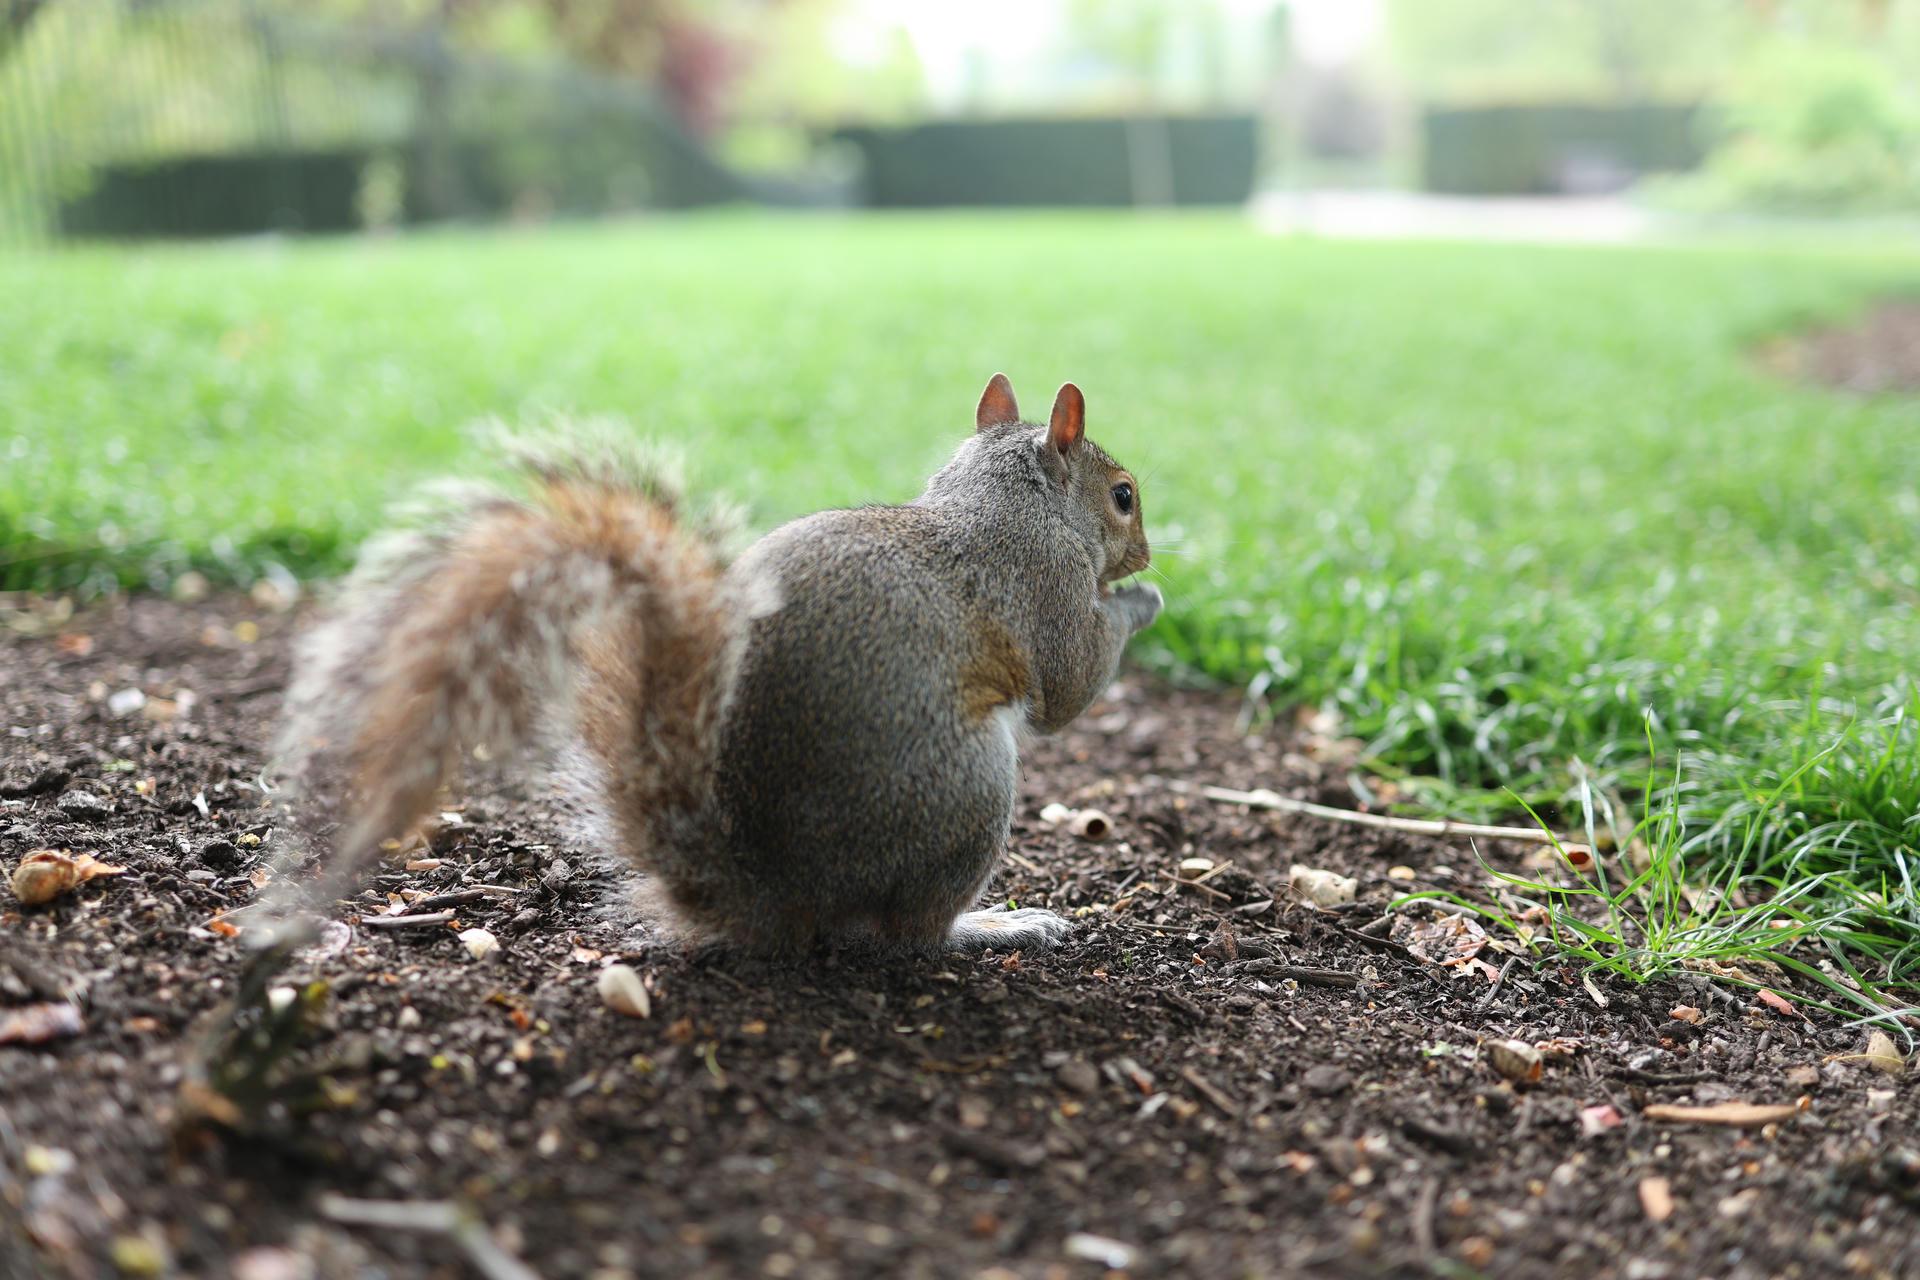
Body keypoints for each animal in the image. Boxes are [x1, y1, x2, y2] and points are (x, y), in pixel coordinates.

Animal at [279, 374, 1162, 955]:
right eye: (1123, 495)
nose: (1148, 552)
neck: (1000, 497)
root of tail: (771, 895)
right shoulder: (1044, 586)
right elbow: (1070, 684)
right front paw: (1142, 600)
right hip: (969, 791)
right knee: (909, 933)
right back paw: (993, 925)